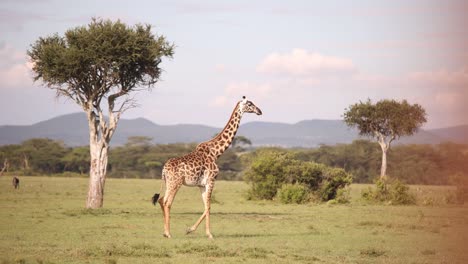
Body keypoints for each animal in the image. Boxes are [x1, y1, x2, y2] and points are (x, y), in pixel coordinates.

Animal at [154, 96, 264, 238]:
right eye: (250, 104)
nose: (260, 111)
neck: (216, 152)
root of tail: (164, 170)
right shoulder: (211, 180)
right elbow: (209, 206)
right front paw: (209, 234)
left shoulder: (202, 184)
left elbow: (206, 206)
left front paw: (190, 229)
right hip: (176, 183)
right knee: (168, 202)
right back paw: (168, 233)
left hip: (169, 182)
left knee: (162, 200)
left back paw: (164, 232)